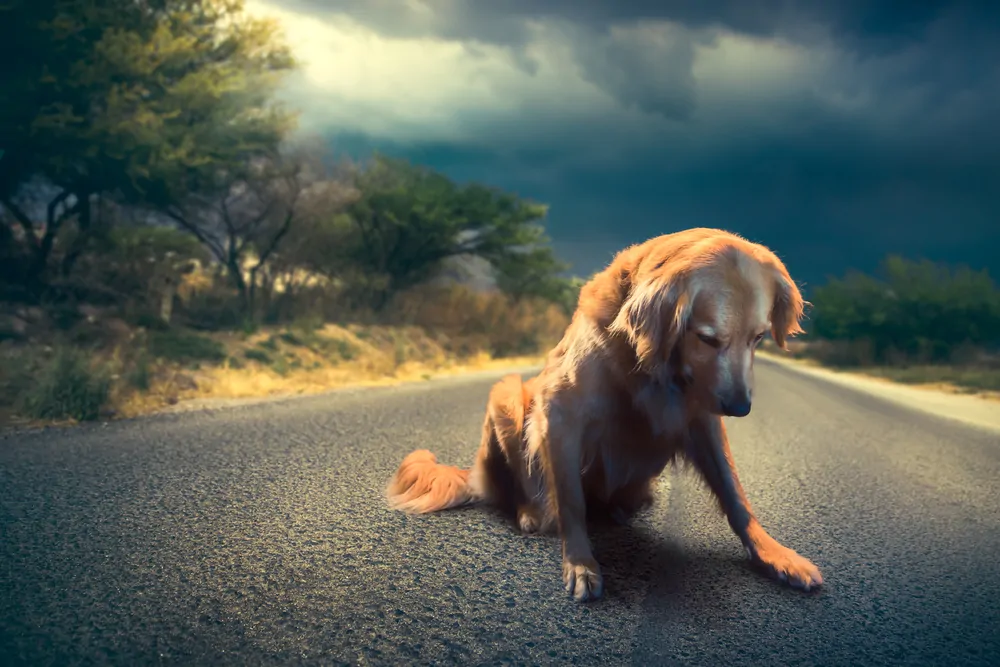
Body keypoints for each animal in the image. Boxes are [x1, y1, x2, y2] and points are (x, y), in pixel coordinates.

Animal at [382, 228, 820, 600]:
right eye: (708, 338)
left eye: (758, 338)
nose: (740, 408)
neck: (649, 363)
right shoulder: (559, 414)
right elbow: (571, 500)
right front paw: (581, 565)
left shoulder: (701, 421)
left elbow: (735, 494)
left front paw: (774, 555)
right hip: (506, 394)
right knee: (518, 489)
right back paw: (530, 513)